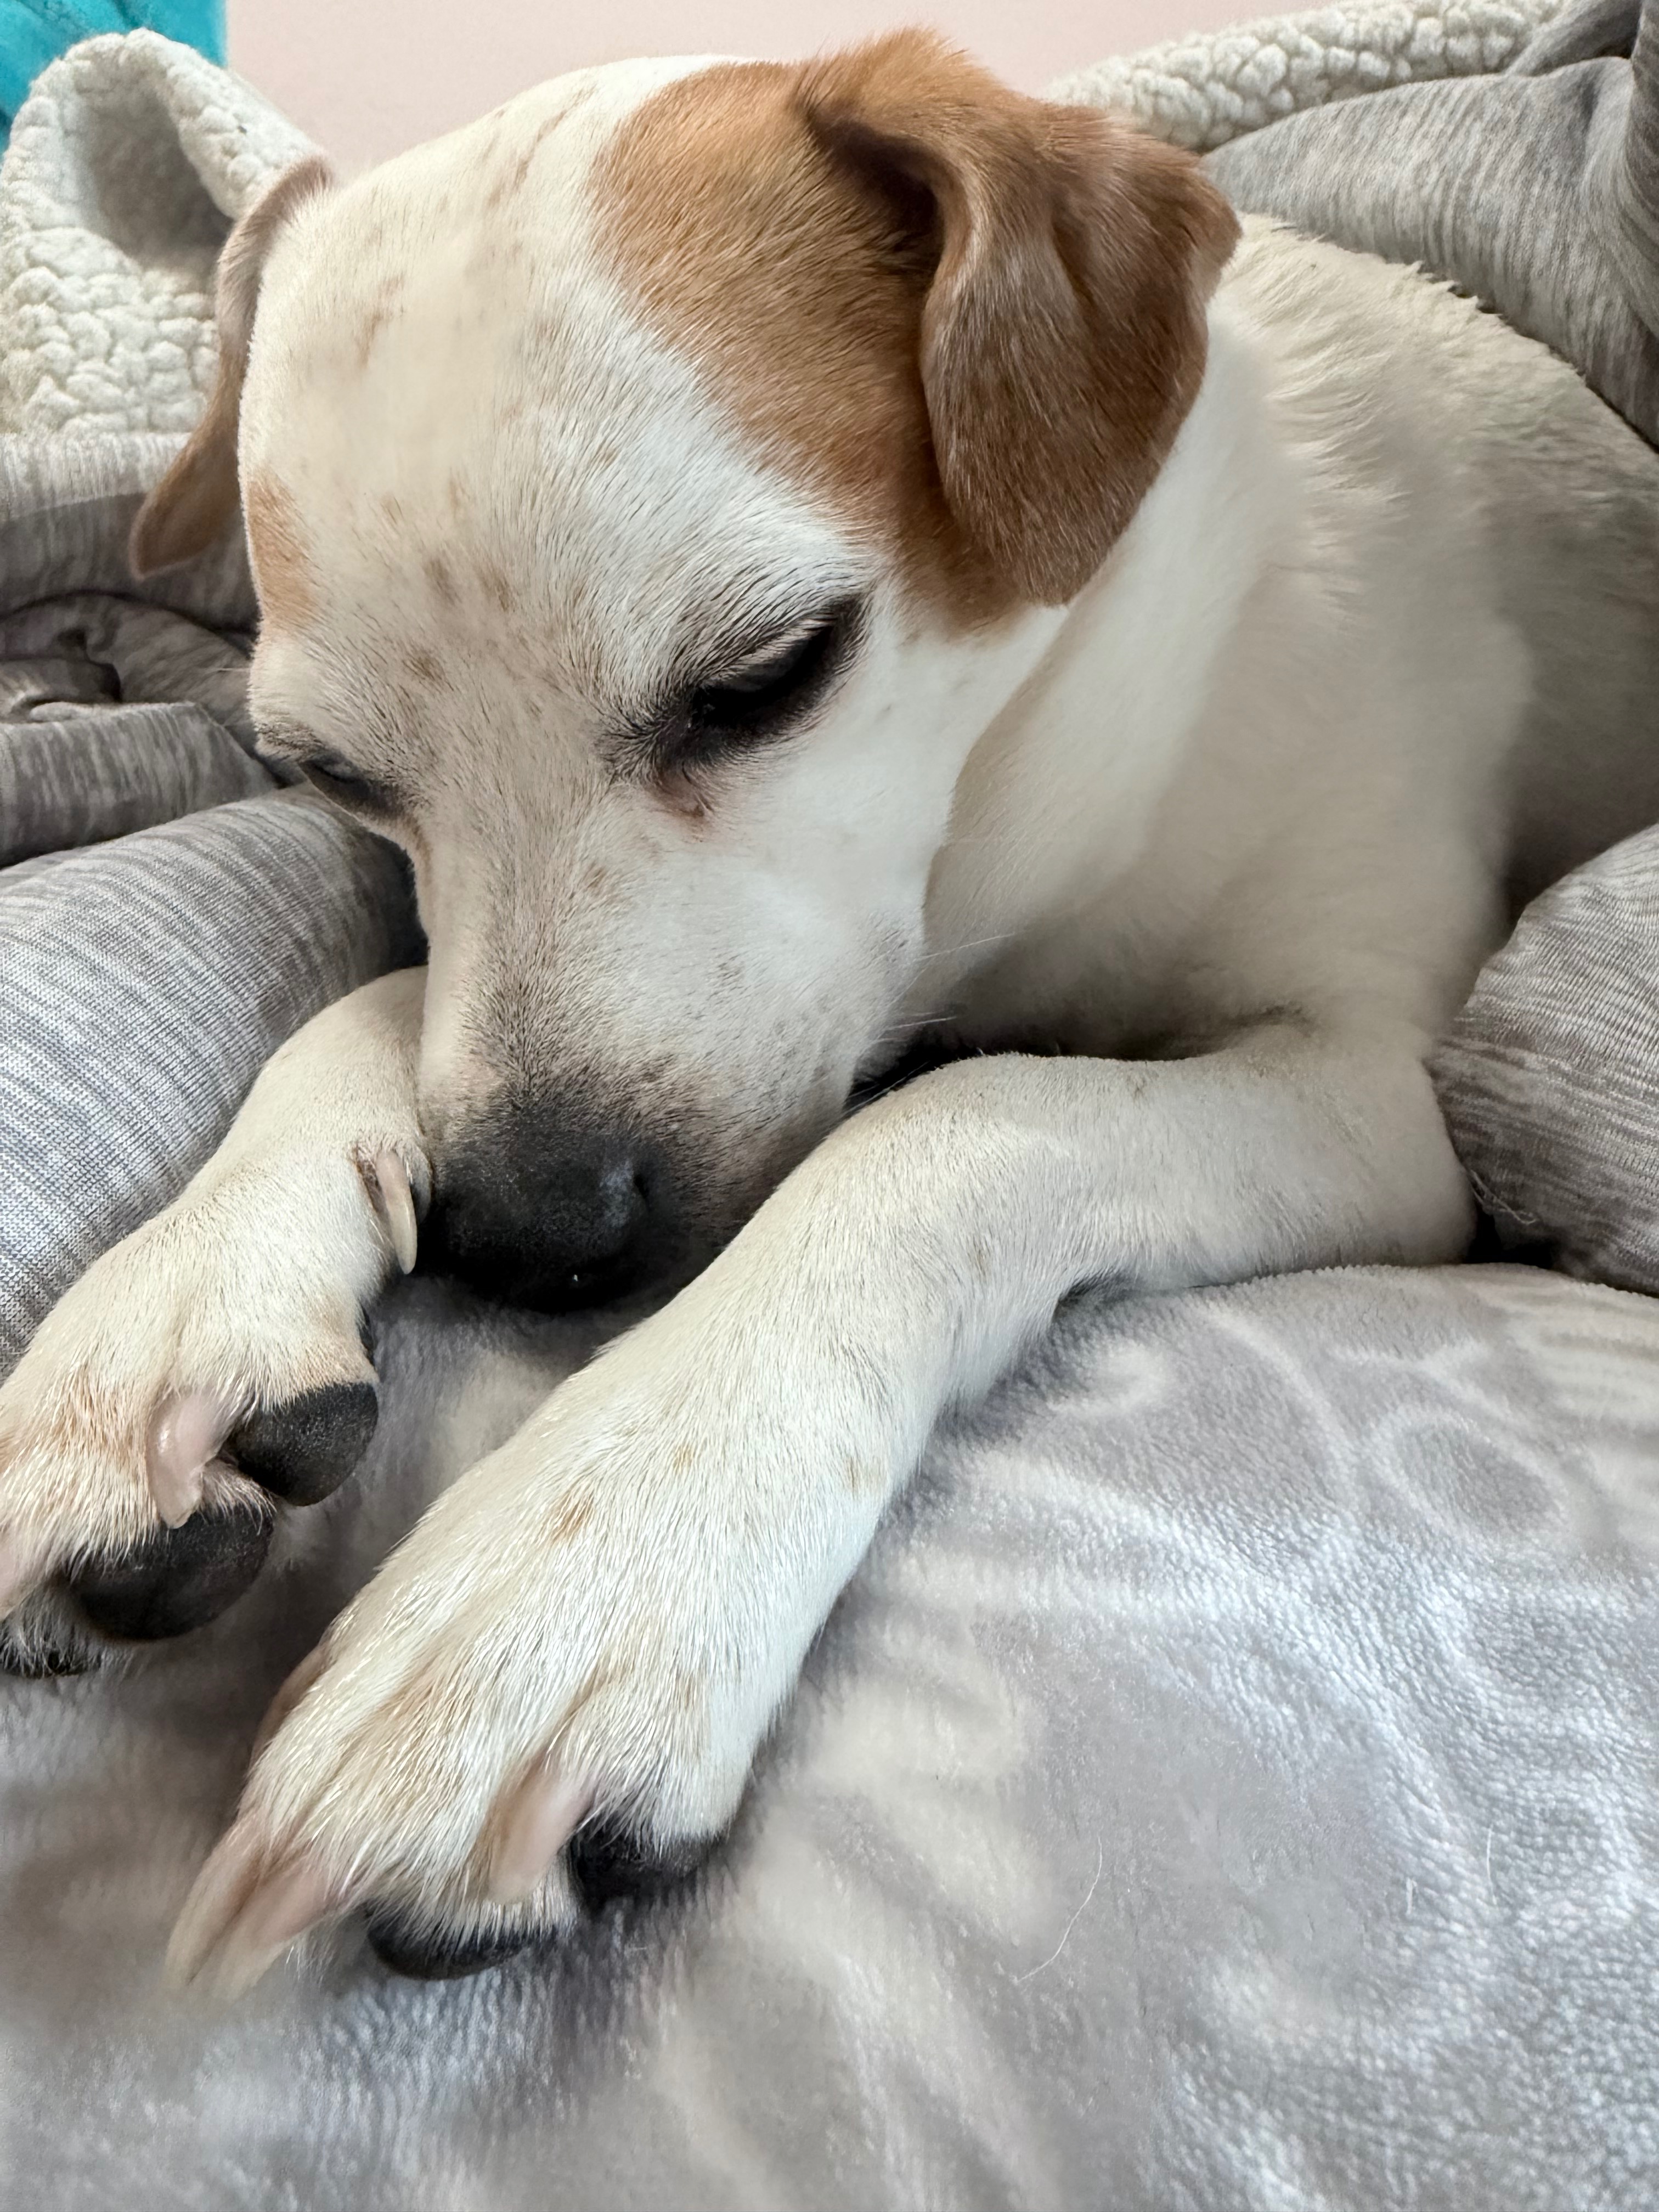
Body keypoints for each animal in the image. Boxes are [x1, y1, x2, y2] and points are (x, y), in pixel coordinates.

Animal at [2, 29, 1659, 1997]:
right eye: (321, 773)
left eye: (767, 674)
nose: (530, 1239)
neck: (1011, 816)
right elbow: (384, 1006)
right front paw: (176, 1306)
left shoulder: (1377, 1087)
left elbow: (951, 1126)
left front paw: (584, 1557)